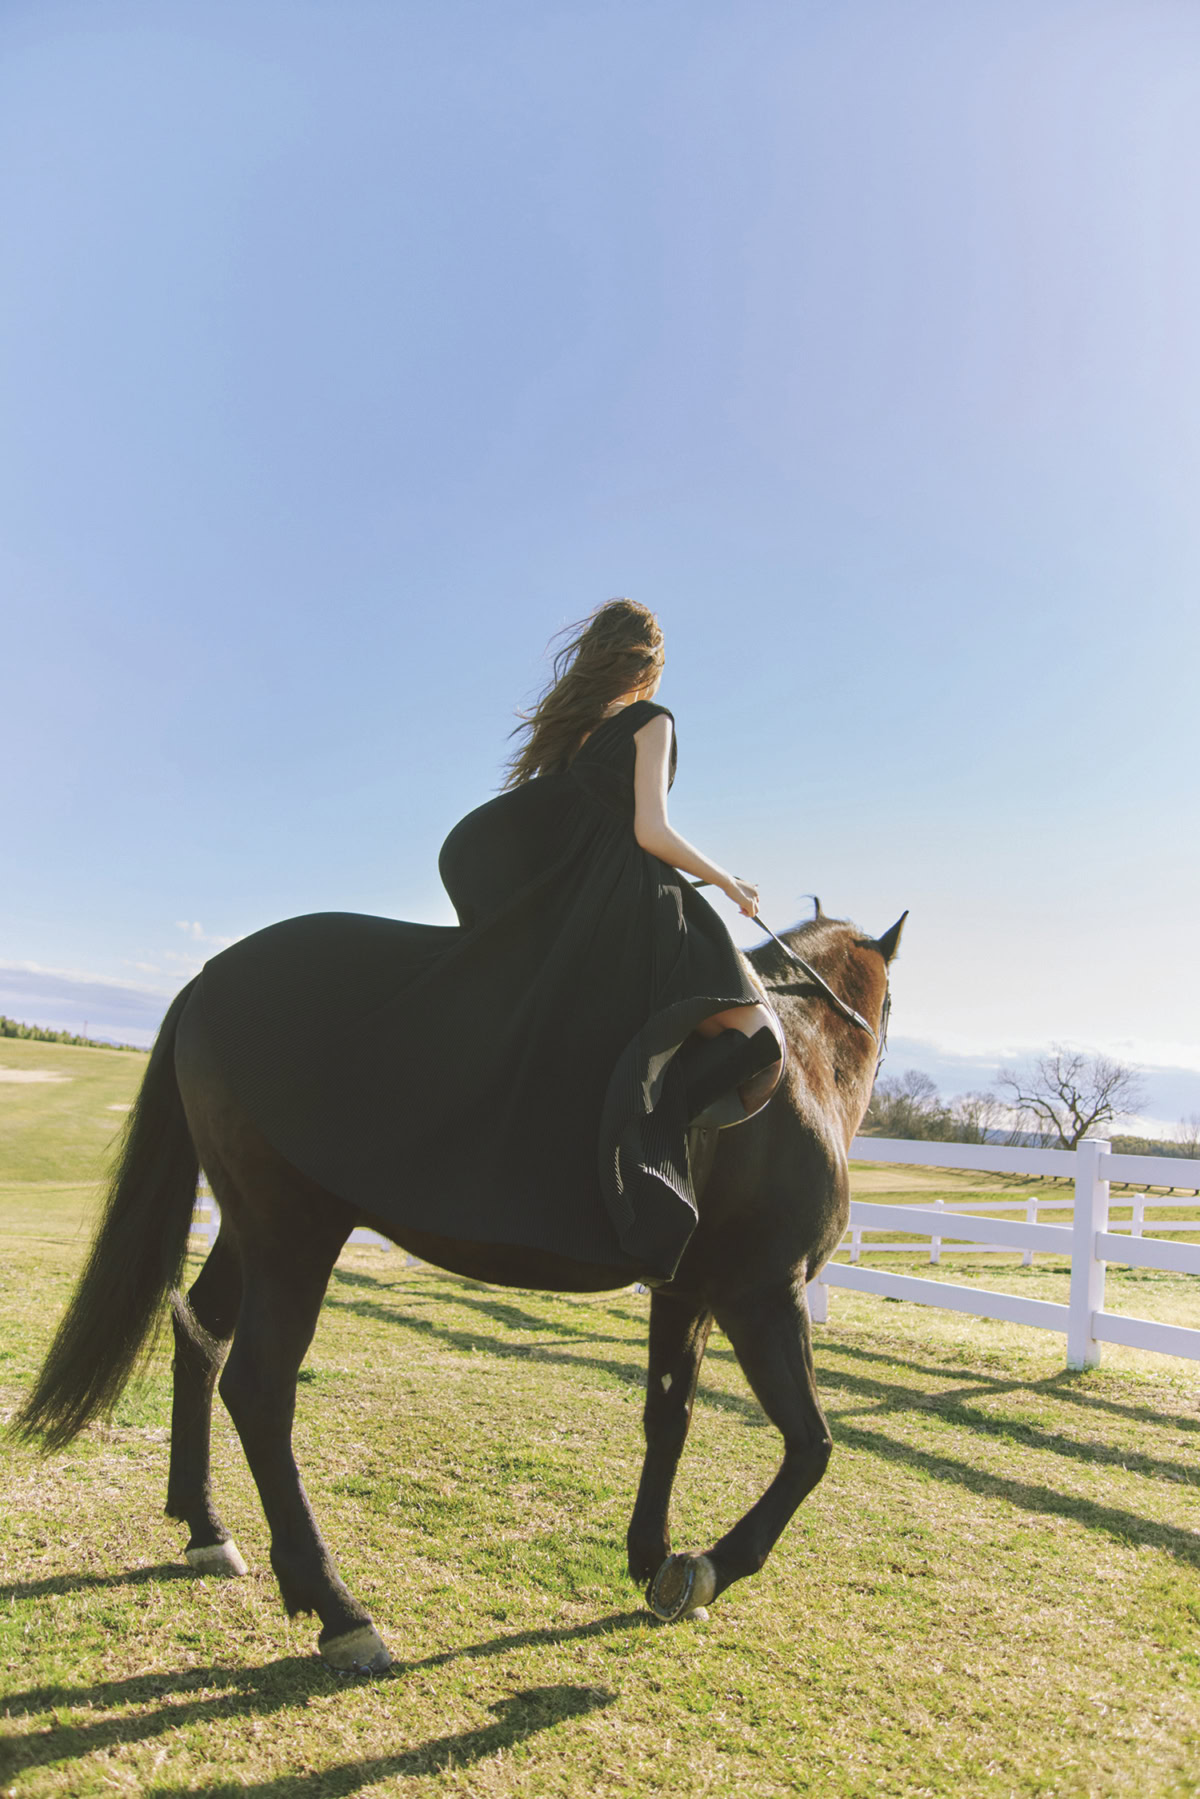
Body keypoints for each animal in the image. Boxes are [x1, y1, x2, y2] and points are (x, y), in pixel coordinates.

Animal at [15, 908, 905, 1673]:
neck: (797, 1063)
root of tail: (209, 976)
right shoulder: (762, 1293)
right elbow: (812, 1445)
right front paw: (708, 1565)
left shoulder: (687, 1294)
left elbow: (670, 1415)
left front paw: (652, 1556)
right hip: (293, 1235)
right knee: (259, 1389)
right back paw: (339, 1610)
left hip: (250, 1228)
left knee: (199, 1336)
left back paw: (205, 1527)